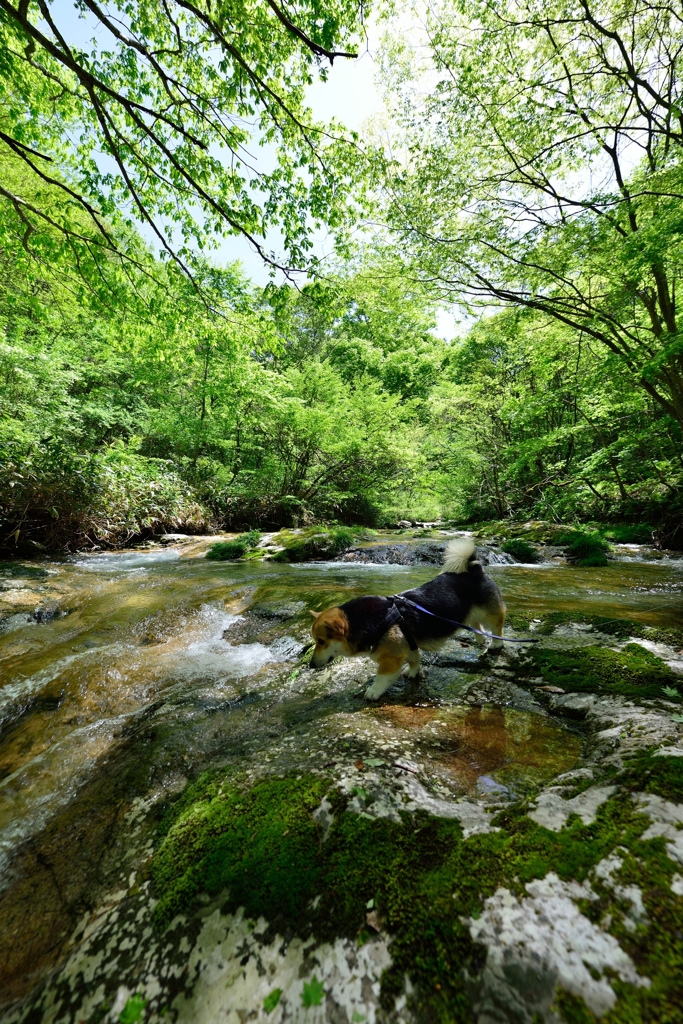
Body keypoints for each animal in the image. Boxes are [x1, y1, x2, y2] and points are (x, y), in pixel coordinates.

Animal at [309, 536, 507, 696]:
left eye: (321, 641)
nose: (310, 665)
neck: (365, 622)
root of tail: (476, 570)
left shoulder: (391, 658)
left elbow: (381, 676)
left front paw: (373, 691)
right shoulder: (409, 646)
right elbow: (414, 660)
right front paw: (413, 672)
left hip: (490, 613)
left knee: (496, 627)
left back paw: (495, 644)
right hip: (469, 613)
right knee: (475, 624)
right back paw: (481, 639)